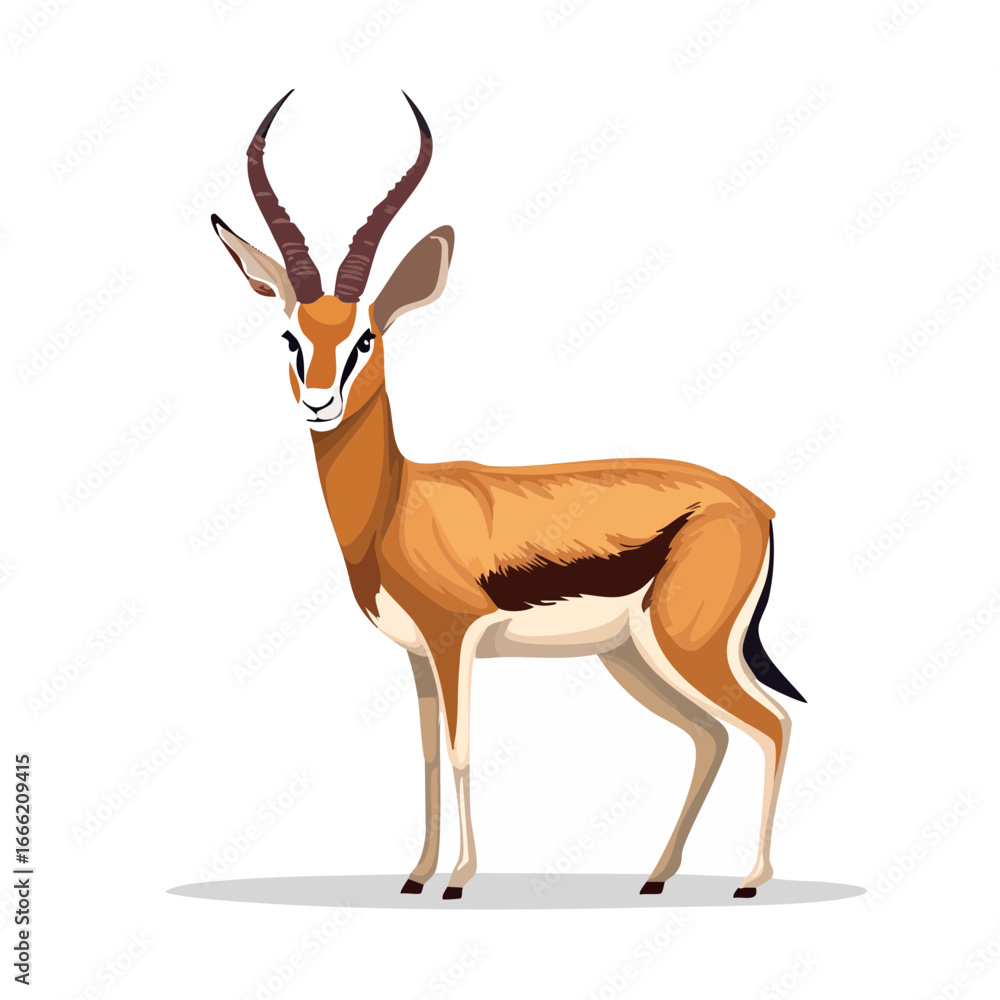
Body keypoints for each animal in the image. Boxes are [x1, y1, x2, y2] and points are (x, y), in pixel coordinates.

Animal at [212, 91, 806, 901]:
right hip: (634, 656)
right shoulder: (417, 655)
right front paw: (416, 875)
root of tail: (757, 505)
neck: (397, 504)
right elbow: (427, 756)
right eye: (290, 337)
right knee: (711, 735)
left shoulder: (453, 638)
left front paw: (459, 879)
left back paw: (750, 879)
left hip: (688, 647)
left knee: (770, 724)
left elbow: (462, 750)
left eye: (366, 337)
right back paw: (656, 877)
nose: (319, 403)